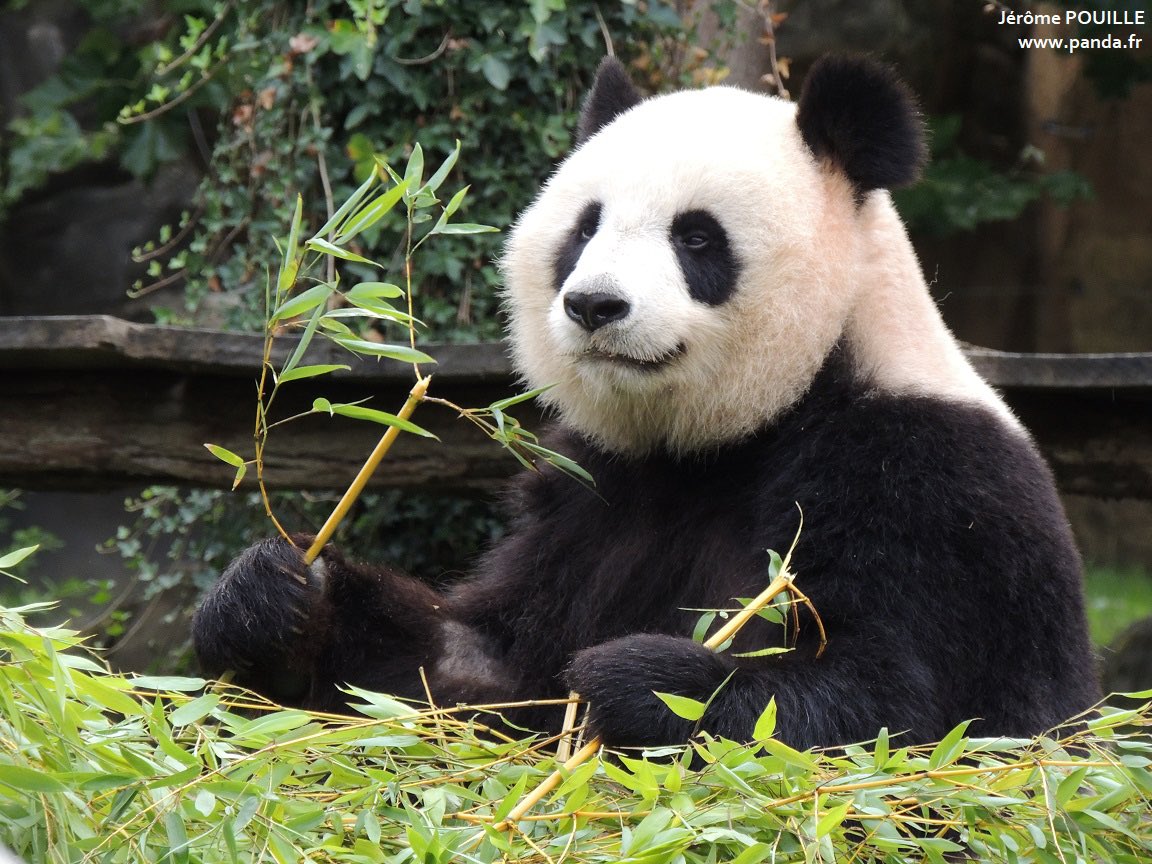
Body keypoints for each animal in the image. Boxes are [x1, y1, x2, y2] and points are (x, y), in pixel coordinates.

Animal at [193, 55, 1100, 751]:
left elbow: (895, 713)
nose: (595, 305)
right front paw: (274, 603)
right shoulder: (597, 490)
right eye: (585, 229)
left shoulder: (927, 488)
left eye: (696, 237)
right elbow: (481, 670)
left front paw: (637, 680)